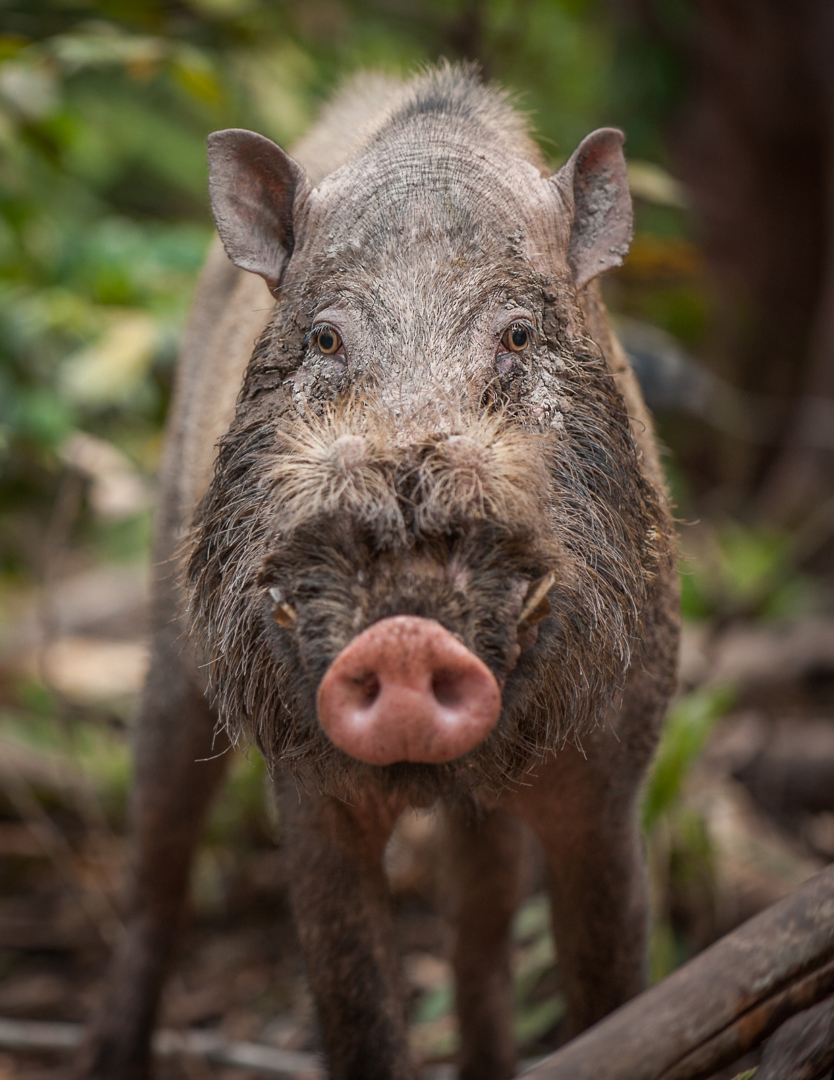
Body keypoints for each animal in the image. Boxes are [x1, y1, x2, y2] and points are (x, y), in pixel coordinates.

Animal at [79, 63, 679, 1080]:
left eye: (518, 337)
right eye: (327, 340)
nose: (403, 632)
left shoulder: (612, 776)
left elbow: (611, 989)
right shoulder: (305, 779)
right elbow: (356, 1005)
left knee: (480, 923)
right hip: (169, 646)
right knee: (156, 865)